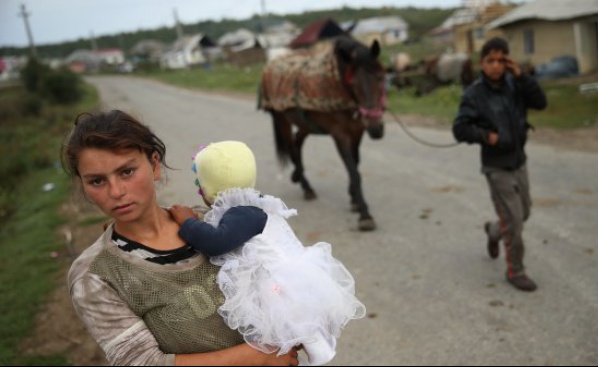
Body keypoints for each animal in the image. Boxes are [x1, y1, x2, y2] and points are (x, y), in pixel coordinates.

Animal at [260, 36, 386, 231]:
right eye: (354, 84)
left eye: (380, 77)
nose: (375, 129)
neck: (337, 83)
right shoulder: (340, 135)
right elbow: (354, 171)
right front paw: (365, 214)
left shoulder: (357, 132)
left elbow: (355, 165)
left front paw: (354, 199)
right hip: (282, 120)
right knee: (291, 147)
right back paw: (306, 187)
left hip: (305, 123)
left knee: (297, 143)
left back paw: (297, 176)